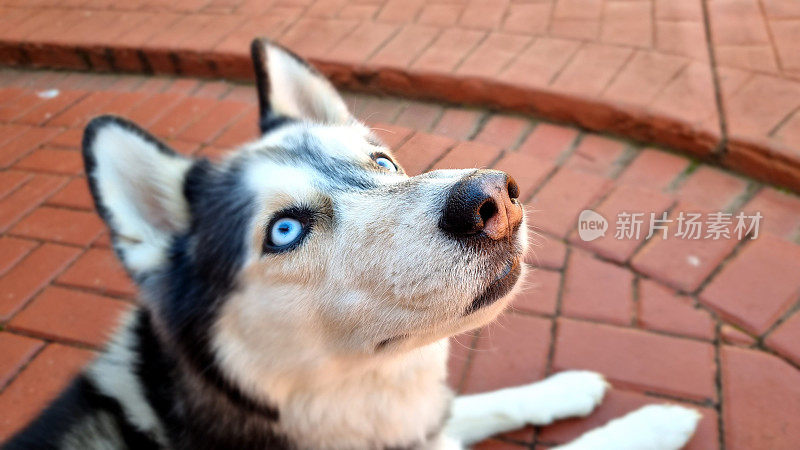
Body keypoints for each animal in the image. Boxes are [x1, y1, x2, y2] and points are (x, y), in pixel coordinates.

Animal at [3, 39, 696, 450]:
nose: (494, 202)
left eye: (383, 162)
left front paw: (570, 389)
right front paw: (656, 423)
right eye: (285, 230)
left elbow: (481, 405)